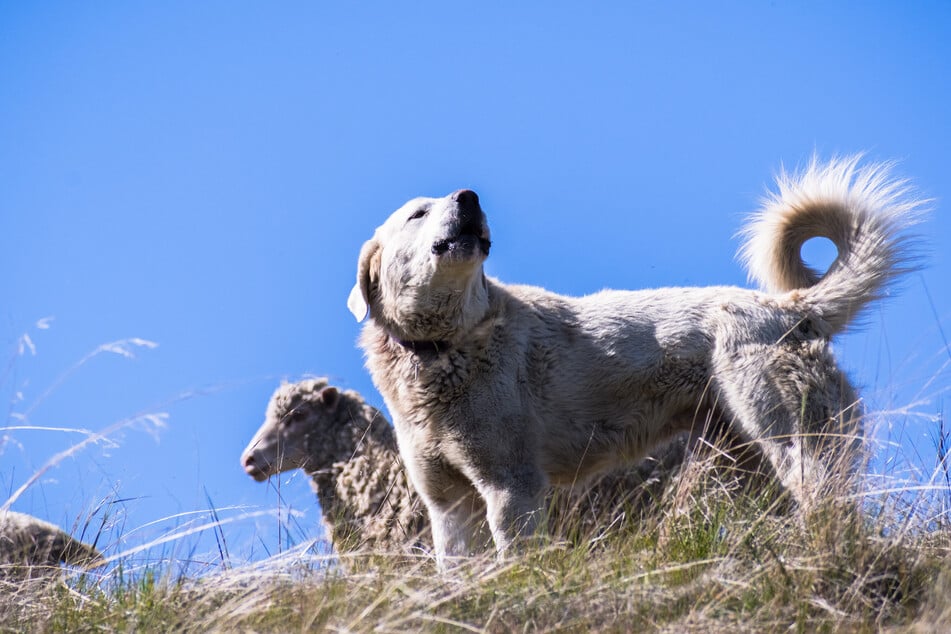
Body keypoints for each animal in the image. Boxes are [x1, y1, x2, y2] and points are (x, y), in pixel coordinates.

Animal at [348, 157, 924, 564]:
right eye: (417, 213)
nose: (469, 197)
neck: (446, 348)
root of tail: (792, 307)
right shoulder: (449, 507)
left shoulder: (513, 489)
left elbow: (515, 561)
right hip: (748, 461)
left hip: (793, 443)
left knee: (830, 507)